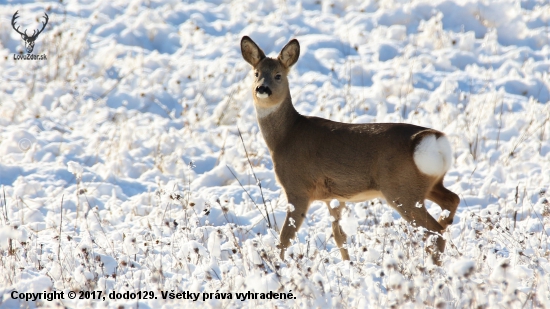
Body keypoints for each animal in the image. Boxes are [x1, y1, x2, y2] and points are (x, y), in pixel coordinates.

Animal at [242, 35, 462, 262]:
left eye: (278, 75)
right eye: (256, 73)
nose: (262, 88)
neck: (286, 136)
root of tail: (433, 139)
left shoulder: (298, 188)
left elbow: (285, 237)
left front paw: (278, 265)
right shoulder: (333, 197)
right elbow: (340, 236)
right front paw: (348, 263)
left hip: (402, 190)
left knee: (435, 231)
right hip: (427, 184)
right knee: (452, 200)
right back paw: (445, 228)